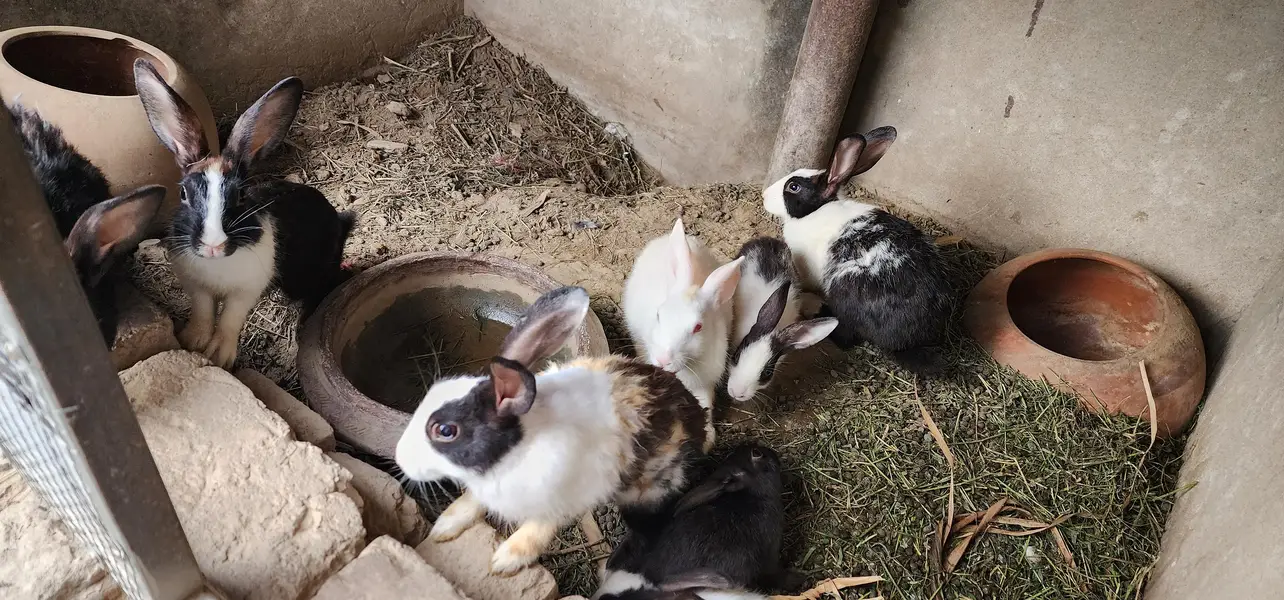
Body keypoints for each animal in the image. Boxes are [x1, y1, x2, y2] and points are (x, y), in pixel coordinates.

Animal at [133, 59, 355, 369]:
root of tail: (340, 223)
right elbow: (204, 313)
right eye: (184, 193)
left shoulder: (245, 291)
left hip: (306, 277)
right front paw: (193, 343)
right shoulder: (197, 287)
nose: (213, 245)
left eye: (241, 194)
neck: (218, 265)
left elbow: (230, 320)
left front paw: (220, 356)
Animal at [395, 286, 708, 576]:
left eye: (446, 430)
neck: (516, 450)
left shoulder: (565, 496)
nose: (400, 459)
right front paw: (445, 526)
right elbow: (472, 502)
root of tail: (698, 416)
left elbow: (539, 530)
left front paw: (505, 561)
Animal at [623, 218, 744, 449]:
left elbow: (705, 403)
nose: (663, 359)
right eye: (659, 314)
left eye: (698, 327)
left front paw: (707, 437)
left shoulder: (705, 382)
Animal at [762, 126, 954, 375]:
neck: (815, 211)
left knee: (846, 337)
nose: (764, 195)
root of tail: (908, 342)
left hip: (844, 287)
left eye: (793, 187)